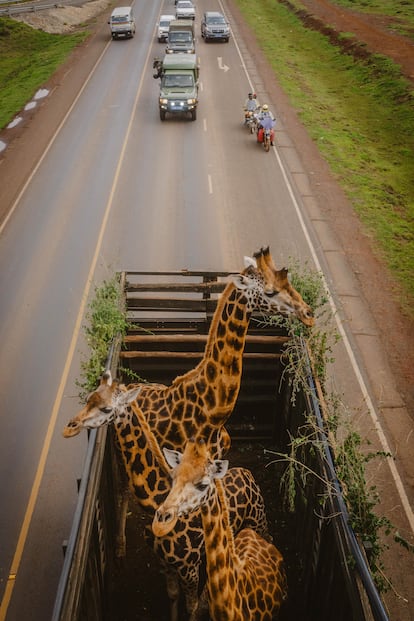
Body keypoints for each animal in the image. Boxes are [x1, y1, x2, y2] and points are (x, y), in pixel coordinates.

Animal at [61, 372, 268, 620]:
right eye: (89, 398)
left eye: (106, 409)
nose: (69, 428)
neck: (155, 500)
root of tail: (247, 473)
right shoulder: (164, 564)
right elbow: (172, 595)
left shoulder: (188, 568)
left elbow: (192, 607)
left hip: (258, 522)